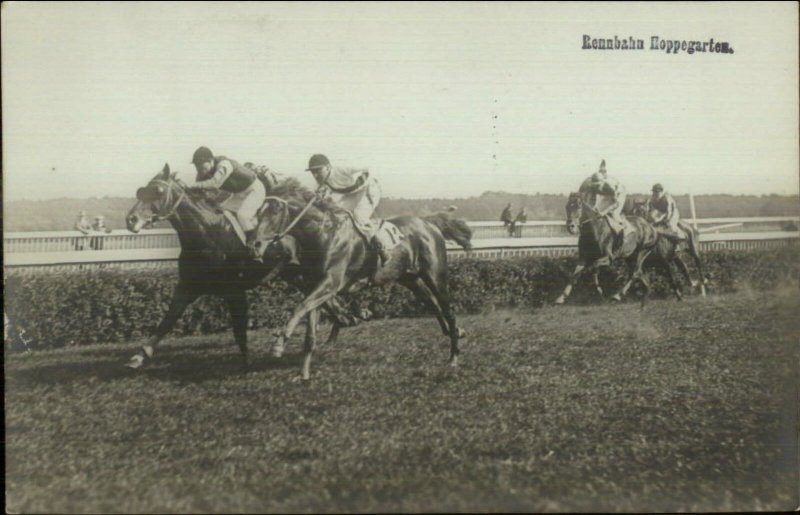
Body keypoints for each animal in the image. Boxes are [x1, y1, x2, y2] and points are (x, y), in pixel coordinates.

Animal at [122, 165, 354, 370]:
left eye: (158, 191)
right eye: (141, 190)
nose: (131, 219)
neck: (208, 234)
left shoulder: (234, 291)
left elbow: (239, 330)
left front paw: (246, 363)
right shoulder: (187, 286)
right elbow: (167, 320)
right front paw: (139, 356)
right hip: (296, 276)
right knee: (329, 302)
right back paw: (343, 321)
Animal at [247, 180, 472, 378]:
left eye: (275, 210)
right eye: (259, 211)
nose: (254, 245)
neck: (324, 233)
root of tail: (428, 223)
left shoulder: (330, 284)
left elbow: (300, 307)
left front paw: (278, 344)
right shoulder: (316, 286)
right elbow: (309, 327)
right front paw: (304, 373)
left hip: (435, 276)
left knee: (448, 308)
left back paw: (454, 356)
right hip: (410, 278)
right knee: (432, 303)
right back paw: (455, 332)